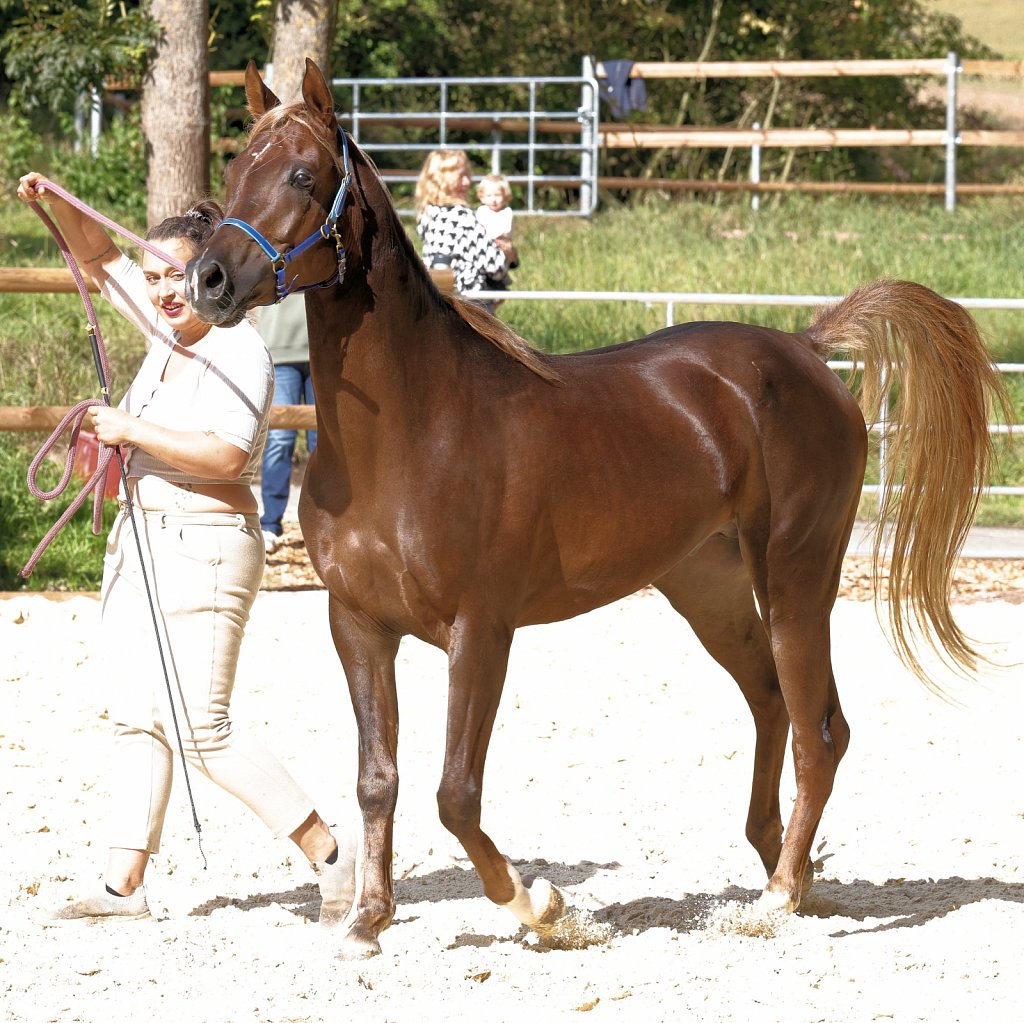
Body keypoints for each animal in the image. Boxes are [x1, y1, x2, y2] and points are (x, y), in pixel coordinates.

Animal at [186, 59, 1008, 959]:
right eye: (236, 167)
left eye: (303, 175)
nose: (209, 281)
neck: (411, 430)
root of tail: (806, 348)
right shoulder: (359, 625)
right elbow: (378, 779)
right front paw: (367, 921)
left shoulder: (482, 631)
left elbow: (455, 793)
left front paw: (544, 908)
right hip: (708, 588)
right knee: (771, 702)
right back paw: (781, 863)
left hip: (797, 576)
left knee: (819, 729)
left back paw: (778, 897)